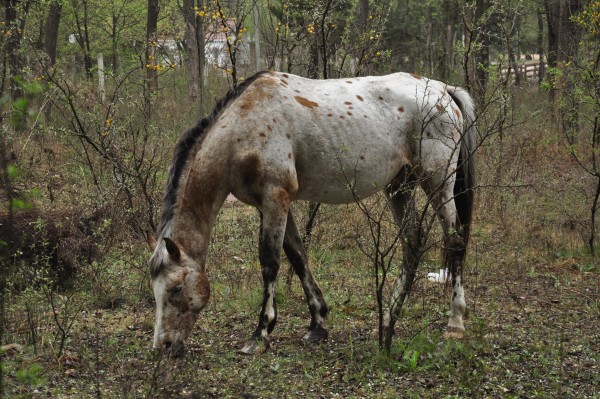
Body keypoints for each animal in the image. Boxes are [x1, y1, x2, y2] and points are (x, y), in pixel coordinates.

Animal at [148, 69, 476, 356]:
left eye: (176, 288)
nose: (164, 346)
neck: (244, 124)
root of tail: (443, 90)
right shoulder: (275, 203)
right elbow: (297, 256)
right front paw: (318, 324)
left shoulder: (275, 197)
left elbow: (270, 262)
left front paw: (261, 334)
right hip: (400, 186)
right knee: (412, 242)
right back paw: (388, 317)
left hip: (438, 183)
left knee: (455, 242)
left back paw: (455, 322)